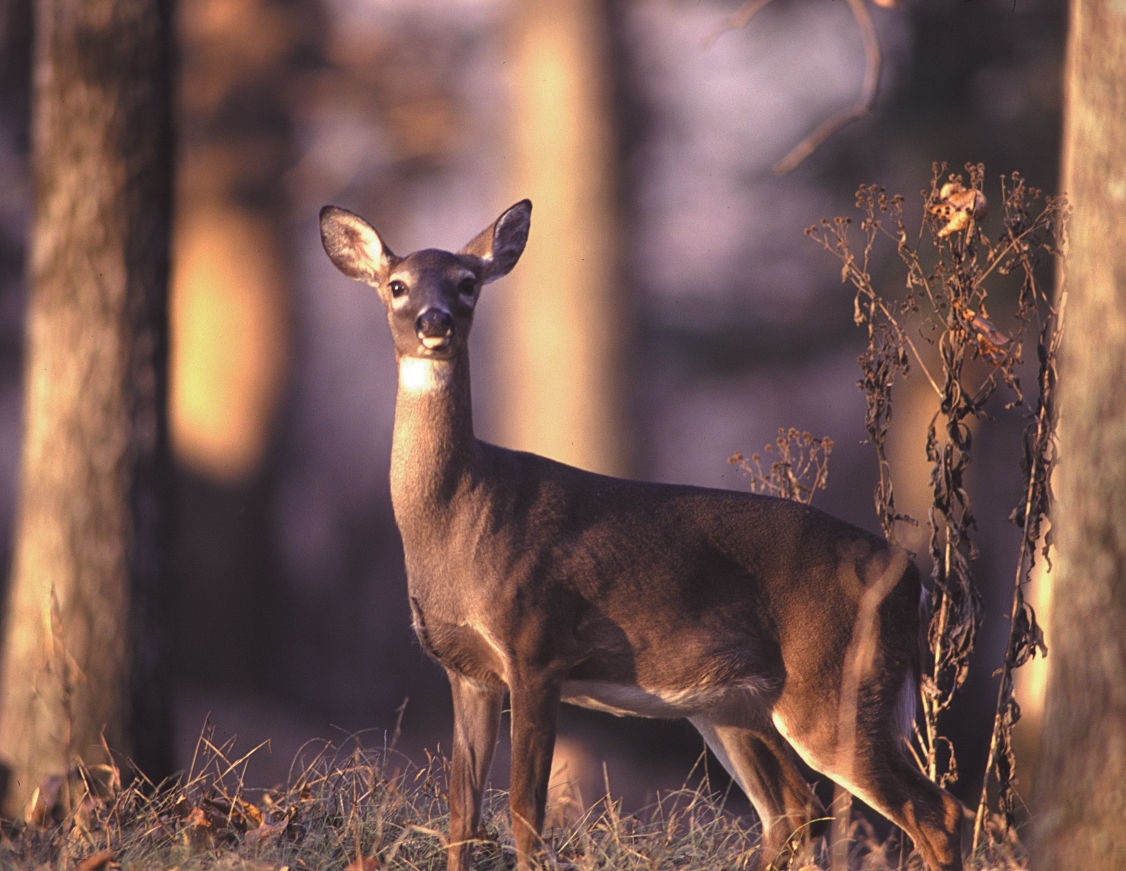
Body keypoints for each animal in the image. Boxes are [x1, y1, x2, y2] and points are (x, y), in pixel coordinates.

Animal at [318, 199, 964, 871]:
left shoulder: (537, 647)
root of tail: (913, 581)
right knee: (793, 810)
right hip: (734, 702)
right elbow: (461, 812)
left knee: (932, 812)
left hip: (836, 681)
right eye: (397, 285)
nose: (434, 321)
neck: (460, 518)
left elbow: (524, 808)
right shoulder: (466, 669)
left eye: (467, 283)